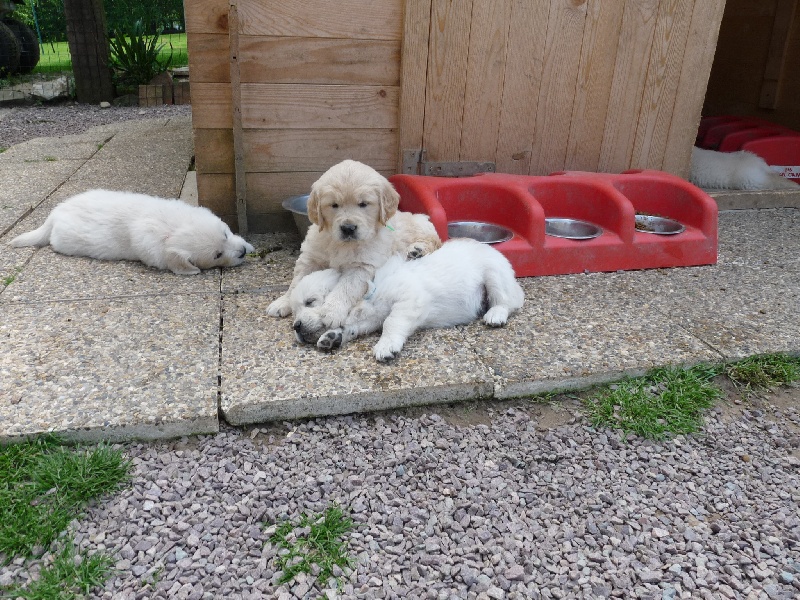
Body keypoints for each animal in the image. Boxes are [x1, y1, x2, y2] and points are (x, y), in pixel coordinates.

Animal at [267, 159, 441, 330]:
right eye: (334, 205)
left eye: (363, 204)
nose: (348, 228)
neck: (340, 244)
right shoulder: (311, 258)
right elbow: (296, 282)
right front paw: (283, 302)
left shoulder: (362, 266)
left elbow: (346, 288)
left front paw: (332, 312)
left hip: (421, 223)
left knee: (435, 241)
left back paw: (417, 250)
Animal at [290, 238, 525, 362]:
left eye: (311, 301)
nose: (296, 326)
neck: (370, 290)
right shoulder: (370, 318)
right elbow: (353, 327)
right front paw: (332, 337)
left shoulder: (409, 299)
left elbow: (391, 322)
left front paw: (386, 346)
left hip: (494, 273)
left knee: (506, 301)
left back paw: (495, 314)